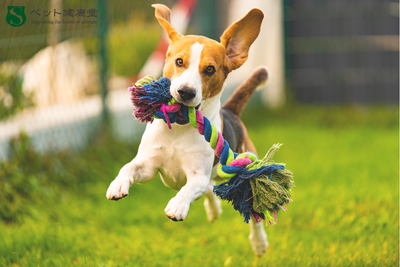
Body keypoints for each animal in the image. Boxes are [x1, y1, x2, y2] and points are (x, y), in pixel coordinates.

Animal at [106, 3, 268, 256]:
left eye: (210, 69)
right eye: (179, 62)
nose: (185, 92)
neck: (178, 129)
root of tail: (231, 111)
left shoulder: (197, 175)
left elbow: (189, 188)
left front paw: (178, 205)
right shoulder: (149, 167)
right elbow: (129, 167)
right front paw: (118, 184)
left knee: (252, 214)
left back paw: (259, 243)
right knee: (211, 189)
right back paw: (214, 210)